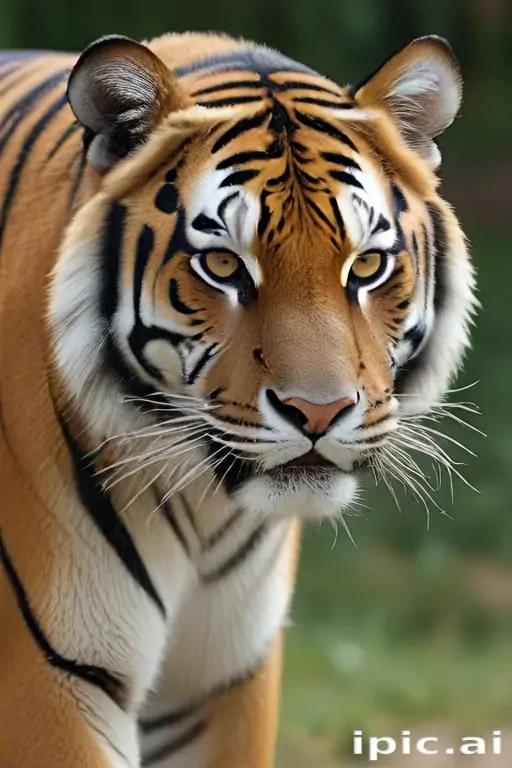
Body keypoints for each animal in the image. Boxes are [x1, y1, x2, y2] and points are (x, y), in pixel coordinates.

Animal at [0, 29, 476, 768]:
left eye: (367, 265)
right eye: (223, 265)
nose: (319, 413)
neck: (206, 512)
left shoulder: (222, 687)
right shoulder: (50, 685)